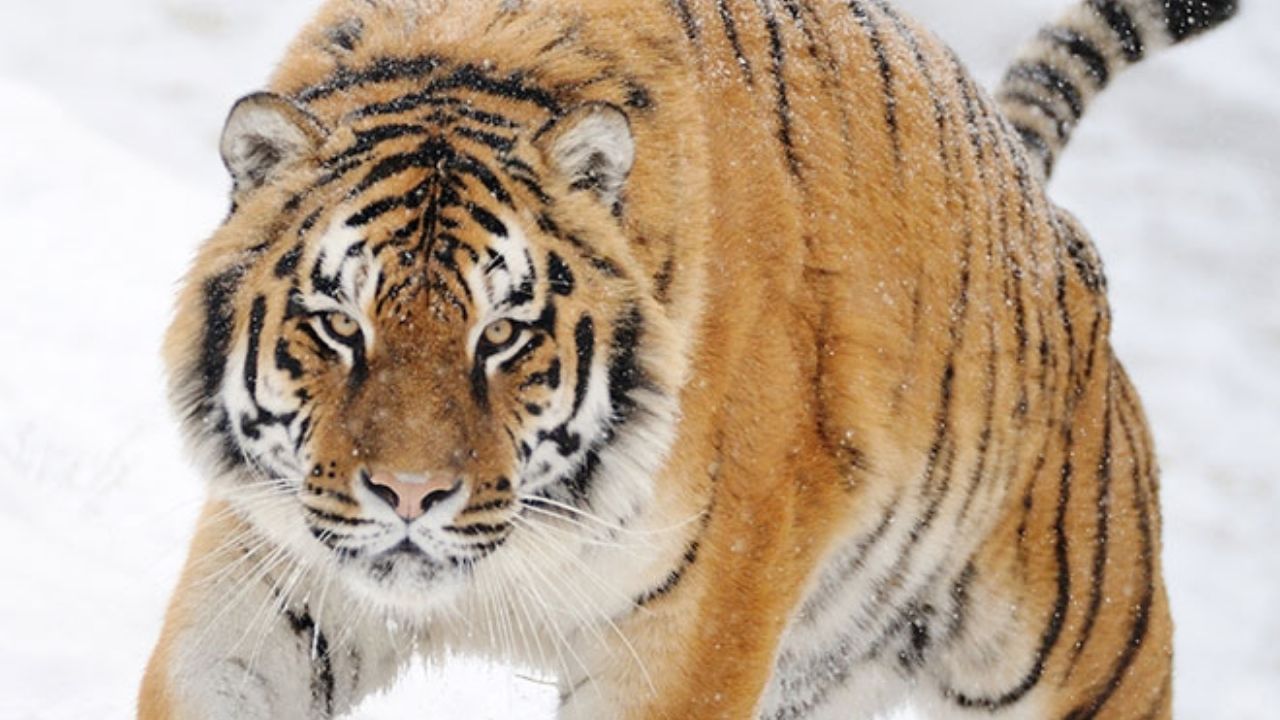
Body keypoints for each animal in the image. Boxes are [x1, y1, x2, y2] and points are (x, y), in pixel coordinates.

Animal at [138, 0, 1238, 718]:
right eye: (339, 325)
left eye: (502, 334)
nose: (410, 497)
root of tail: (1041, 214)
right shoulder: (268, 578)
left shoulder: (692, 634)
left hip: (1088, 646)